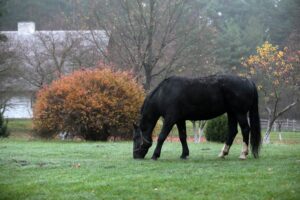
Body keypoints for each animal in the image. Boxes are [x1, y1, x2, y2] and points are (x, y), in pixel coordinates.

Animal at [132, 74, 262, 160]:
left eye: (135, 138)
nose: (135, 156)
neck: (164, 93)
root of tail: (248, 81)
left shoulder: (170, 119)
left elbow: (162, 136)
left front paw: (155, 155)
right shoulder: (180, 120)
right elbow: (182, 137)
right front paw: (184, 154)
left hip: (240, 113)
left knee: (245, 129)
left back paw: (243, 154)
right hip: (232, 113)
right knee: (232, 131)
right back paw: (223, 153)